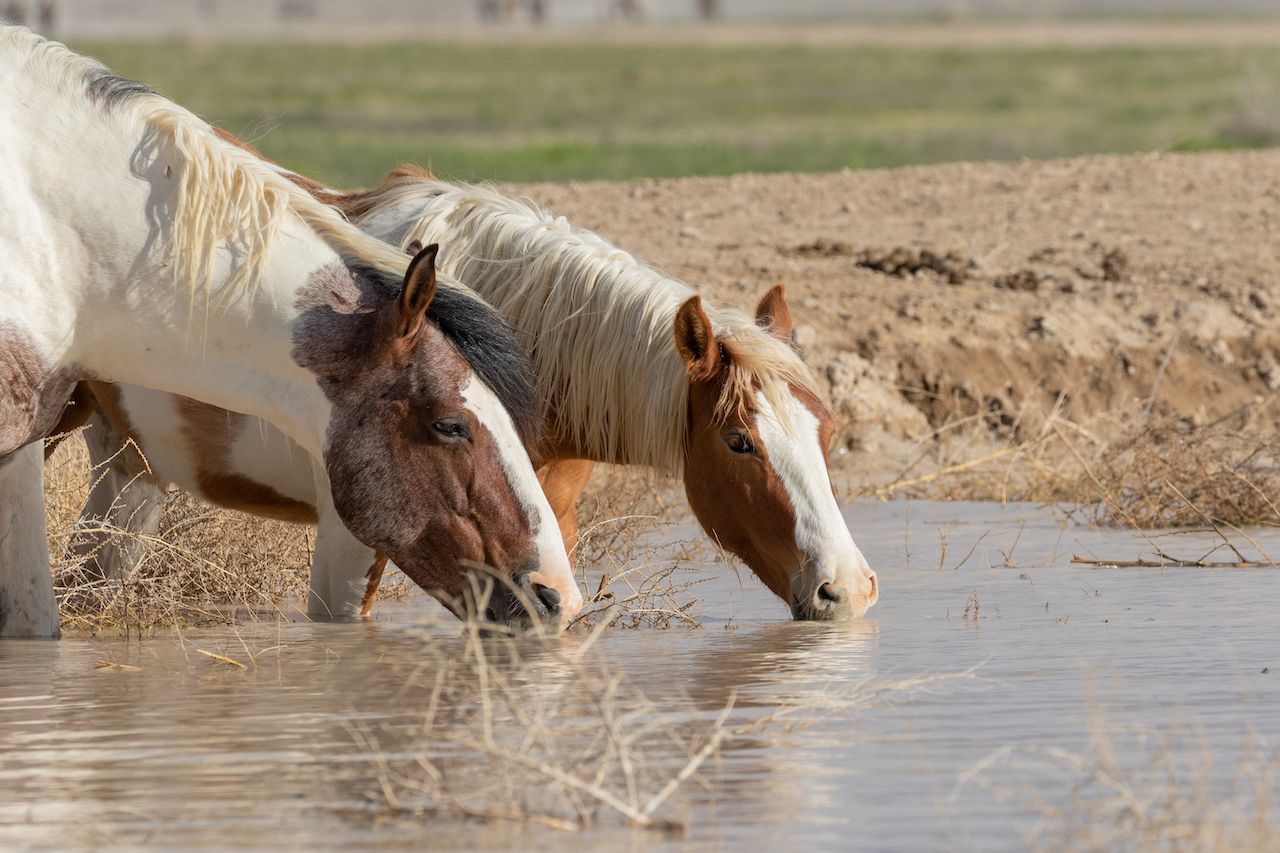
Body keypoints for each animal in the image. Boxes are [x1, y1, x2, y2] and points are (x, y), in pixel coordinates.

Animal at [68, 150, 878, 621]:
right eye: (739, 441)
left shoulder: (545, 539)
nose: (847, 588)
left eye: (830, 433)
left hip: (127, 466)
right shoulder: (355, 538)